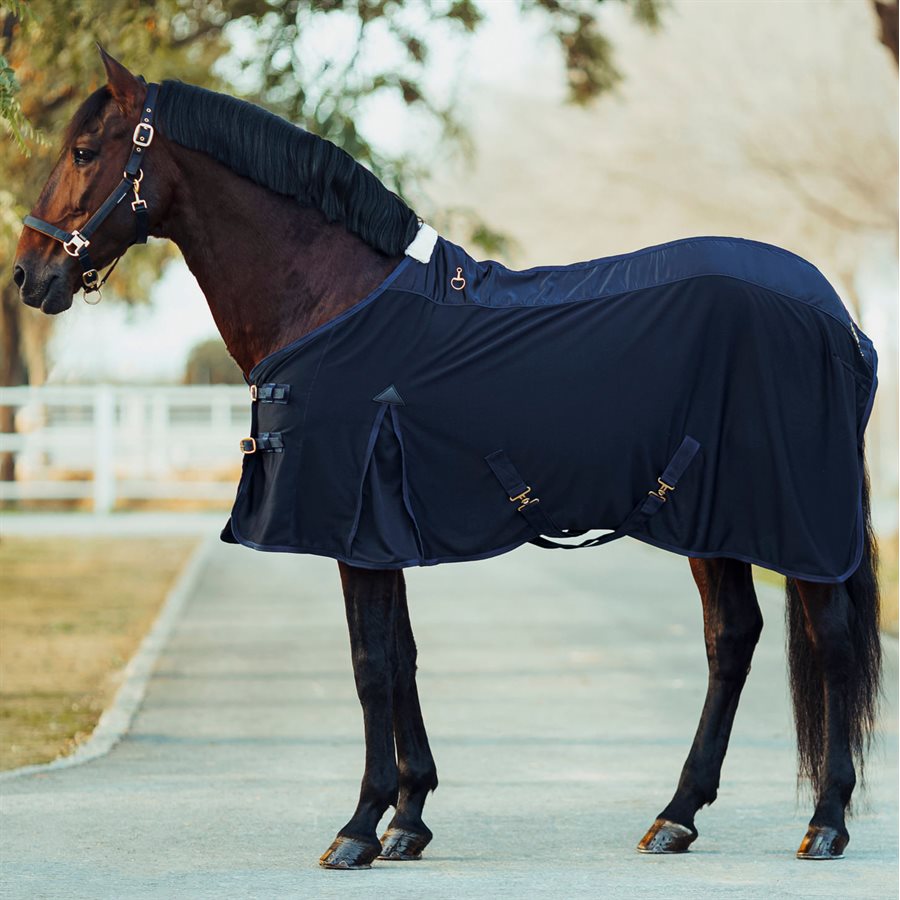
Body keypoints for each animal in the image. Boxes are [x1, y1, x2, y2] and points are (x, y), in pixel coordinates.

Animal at [14, 49, 882, 869]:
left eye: (85, 151)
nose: (29, 274)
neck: (329, 299)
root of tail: (833, 311)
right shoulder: (377, 530)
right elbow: (401, 658)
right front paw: (408, 819)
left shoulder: (353, 524)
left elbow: (369, 664)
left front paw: (357, 829)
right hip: (705, 516)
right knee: (731, 637)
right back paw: (676, 816)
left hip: (795, 523)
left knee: (831, 640)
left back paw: (826, 822)